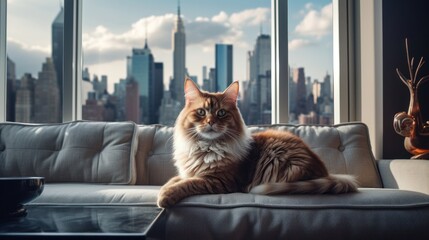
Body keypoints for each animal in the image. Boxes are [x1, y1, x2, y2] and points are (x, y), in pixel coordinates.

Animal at [157, 79, 358, 208]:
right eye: (201, 112)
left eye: (221, 113)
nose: (210, 122)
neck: (206, 147)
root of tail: (325, 173)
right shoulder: (187, 172)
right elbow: (174, 180)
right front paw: (163, 189)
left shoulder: (219, 181)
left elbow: (188, 184)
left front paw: (165, 196)